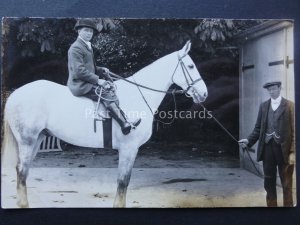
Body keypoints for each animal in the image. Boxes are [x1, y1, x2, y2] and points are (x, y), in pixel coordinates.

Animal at [1, 40, 209, 207]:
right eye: (191, 66)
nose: (204, 94)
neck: (138, 95)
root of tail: (15, 94)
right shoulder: (129, 148)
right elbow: (123, 182)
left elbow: (124, 181)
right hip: (27, 141)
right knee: (21, 171)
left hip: (37, 139)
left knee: (24, 170)